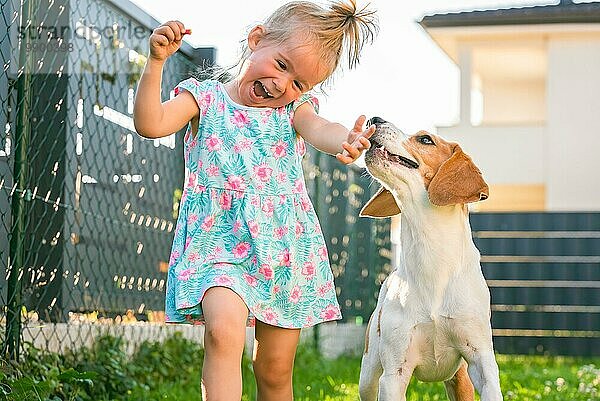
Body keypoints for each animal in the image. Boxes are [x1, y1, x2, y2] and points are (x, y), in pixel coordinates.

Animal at [358, 116, 504, 400]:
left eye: (425, 139)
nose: (374, 118)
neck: (432, 255)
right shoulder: (393, 376)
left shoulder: (482, 362)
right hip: (368, 375)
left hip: (460, 380)